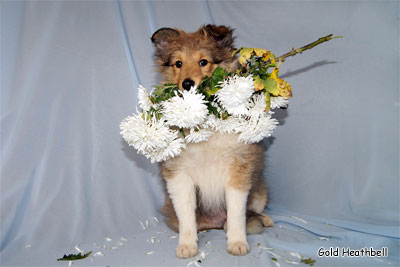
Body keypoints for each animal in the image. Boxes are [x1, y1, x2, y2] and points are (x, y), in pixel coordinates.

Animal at [152, 24, 274, 260]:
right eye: (178, 63)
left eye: (203, 61)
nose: (187, 84)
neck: (204, 122)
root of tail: (214, 222)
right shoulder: (178, 173)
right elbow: (186, 215)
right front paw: (187, 246)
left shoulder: (239, 167)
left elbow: (236, 213)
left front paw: (237, 243)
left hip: (260, 189)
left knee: (254, 211)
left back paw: (264, 220)